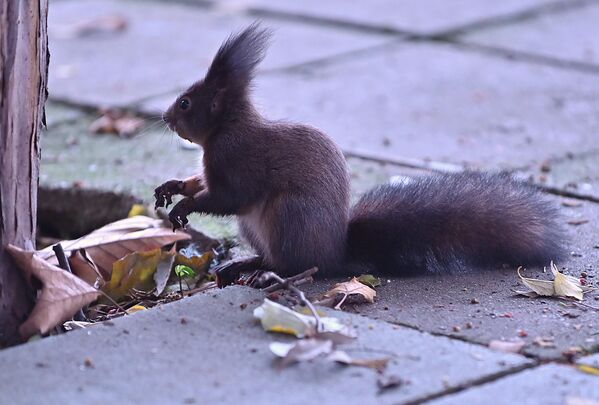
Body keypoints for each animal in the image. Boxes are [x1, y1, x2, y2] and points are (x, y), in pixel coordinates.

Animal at [155, 22, 568, 280]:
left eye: (186, 103)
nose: (165, 116)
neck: (226, 127)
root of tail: (335, 251)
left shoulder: (236, 158)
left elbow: (230, 197)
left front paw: (185, 206)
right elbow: (201, 183)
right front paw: (174, 187)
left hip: (290, 216)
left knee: (297, 266)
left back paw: (265, 274)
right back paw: (245, 265)